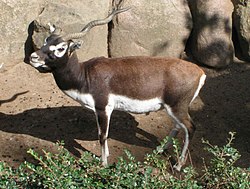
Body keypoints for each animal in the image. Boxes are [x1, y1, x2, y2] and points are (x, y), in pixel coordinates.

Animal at [28, 7, 205, 171]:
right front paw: (106, 156)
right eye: (46, 40)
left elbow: (102, 135)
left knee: (190, 128)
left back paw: (178, 165)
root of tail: (200, 72)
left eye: (60, 48)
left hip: (177, 108)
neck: (84, 75)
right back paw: (160, 149)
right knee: (177, 127)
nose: (33, 57)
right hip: (172, 109)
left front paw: (103, 163)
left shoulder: (103, 108)